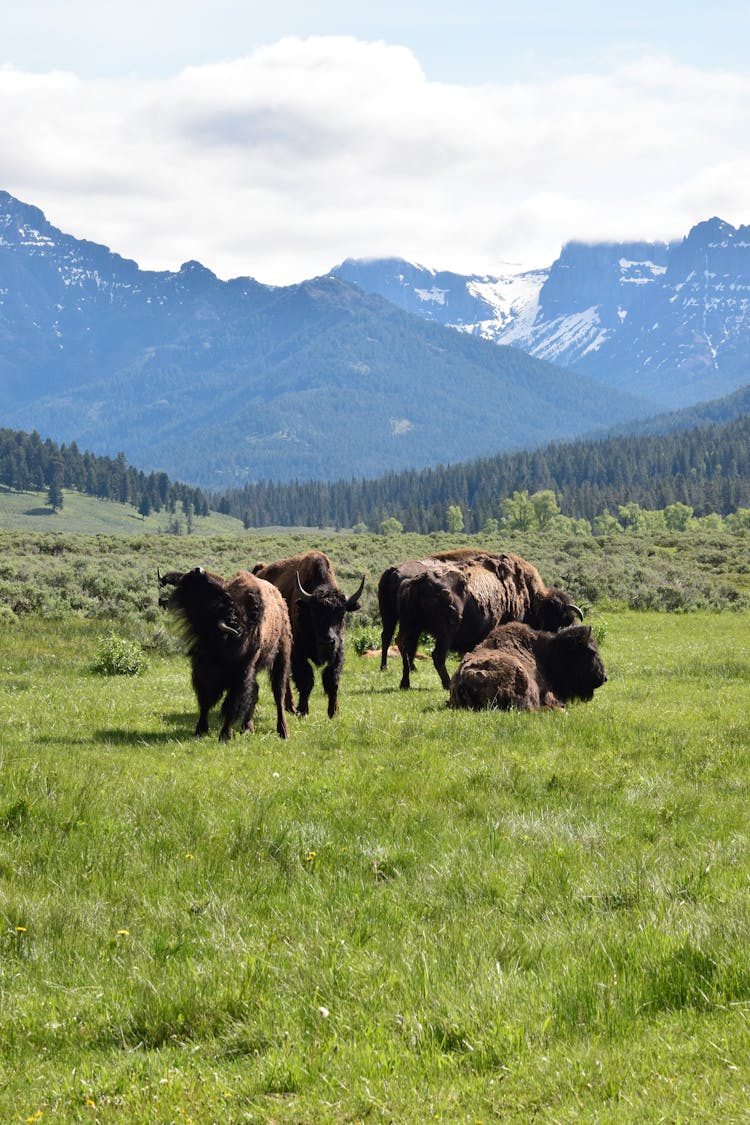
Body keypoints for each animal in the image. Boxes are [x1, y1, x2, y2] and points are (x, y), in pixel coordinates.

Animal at [159, 567, 292, 742]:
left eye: (212, 593)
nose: (197, 570)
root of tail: (281, 601)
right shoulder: (203, 670)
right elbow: (205, 700)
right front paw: (200, 730)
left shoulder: (241, 675)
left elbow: (232, 704)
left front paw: (224, 735)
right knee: (255, 691)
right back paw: (247, 727)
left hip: (281, 657)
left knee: (278, 693)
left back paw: (283, 731)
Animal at [251, 553, 366, 720]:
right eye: (314, 613)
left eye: (341, 614)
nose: (327, 641)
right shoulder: (298, 653)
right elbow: (306, 680)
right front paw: (303, 710)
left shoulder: (338, 650)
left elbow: (332, 679)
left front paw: (334, 712)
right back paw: (291, 706)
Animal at [395, 549, 584, 688]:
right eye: (561, 618)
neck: (529, 597)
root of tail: (419, 581)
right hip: (445, 633)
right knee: (437, 656)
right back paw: (447, 684)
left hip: (412, 627)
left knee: (405, 648)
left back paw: (405, 683)